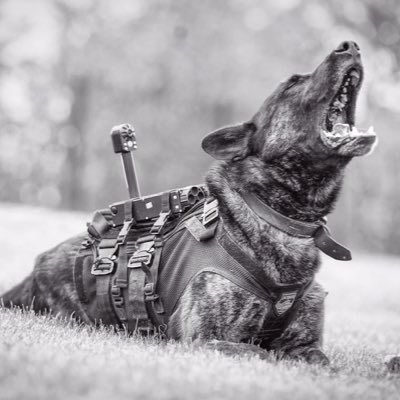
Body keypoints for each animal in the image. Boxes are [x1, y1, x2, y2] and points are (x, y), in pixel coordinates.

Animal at [0, 41, 376, 366]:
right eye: (292, 84)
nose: (350, 46)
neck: (278, 217)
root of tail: (35, 267)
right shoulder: (204, 340)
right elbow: (264, 353)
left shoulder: (306, 345)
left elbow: (321, 363)